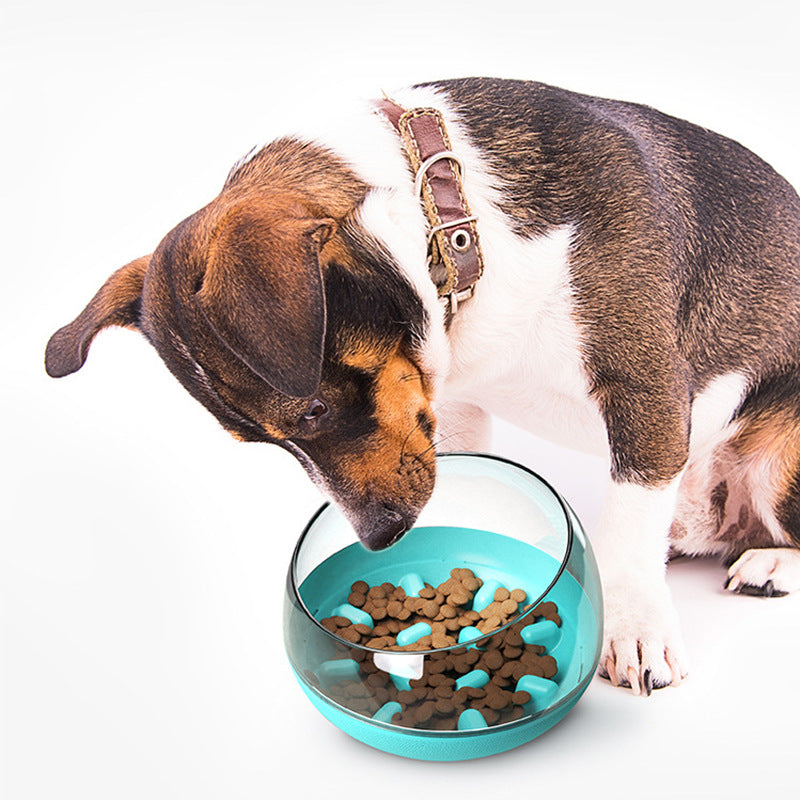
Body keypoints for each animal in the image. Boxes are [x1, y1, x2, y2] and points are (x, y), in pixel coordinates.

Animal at [47, 78, 800, 696]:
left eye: (315, 409)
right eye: (259, 441)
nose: (381, 537)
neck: (455, 224)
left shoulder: (647, 394)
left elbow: (632, 524)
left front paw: (635, 628)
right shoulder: (456, 413)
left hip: (775, 459)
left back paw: (766, 563)